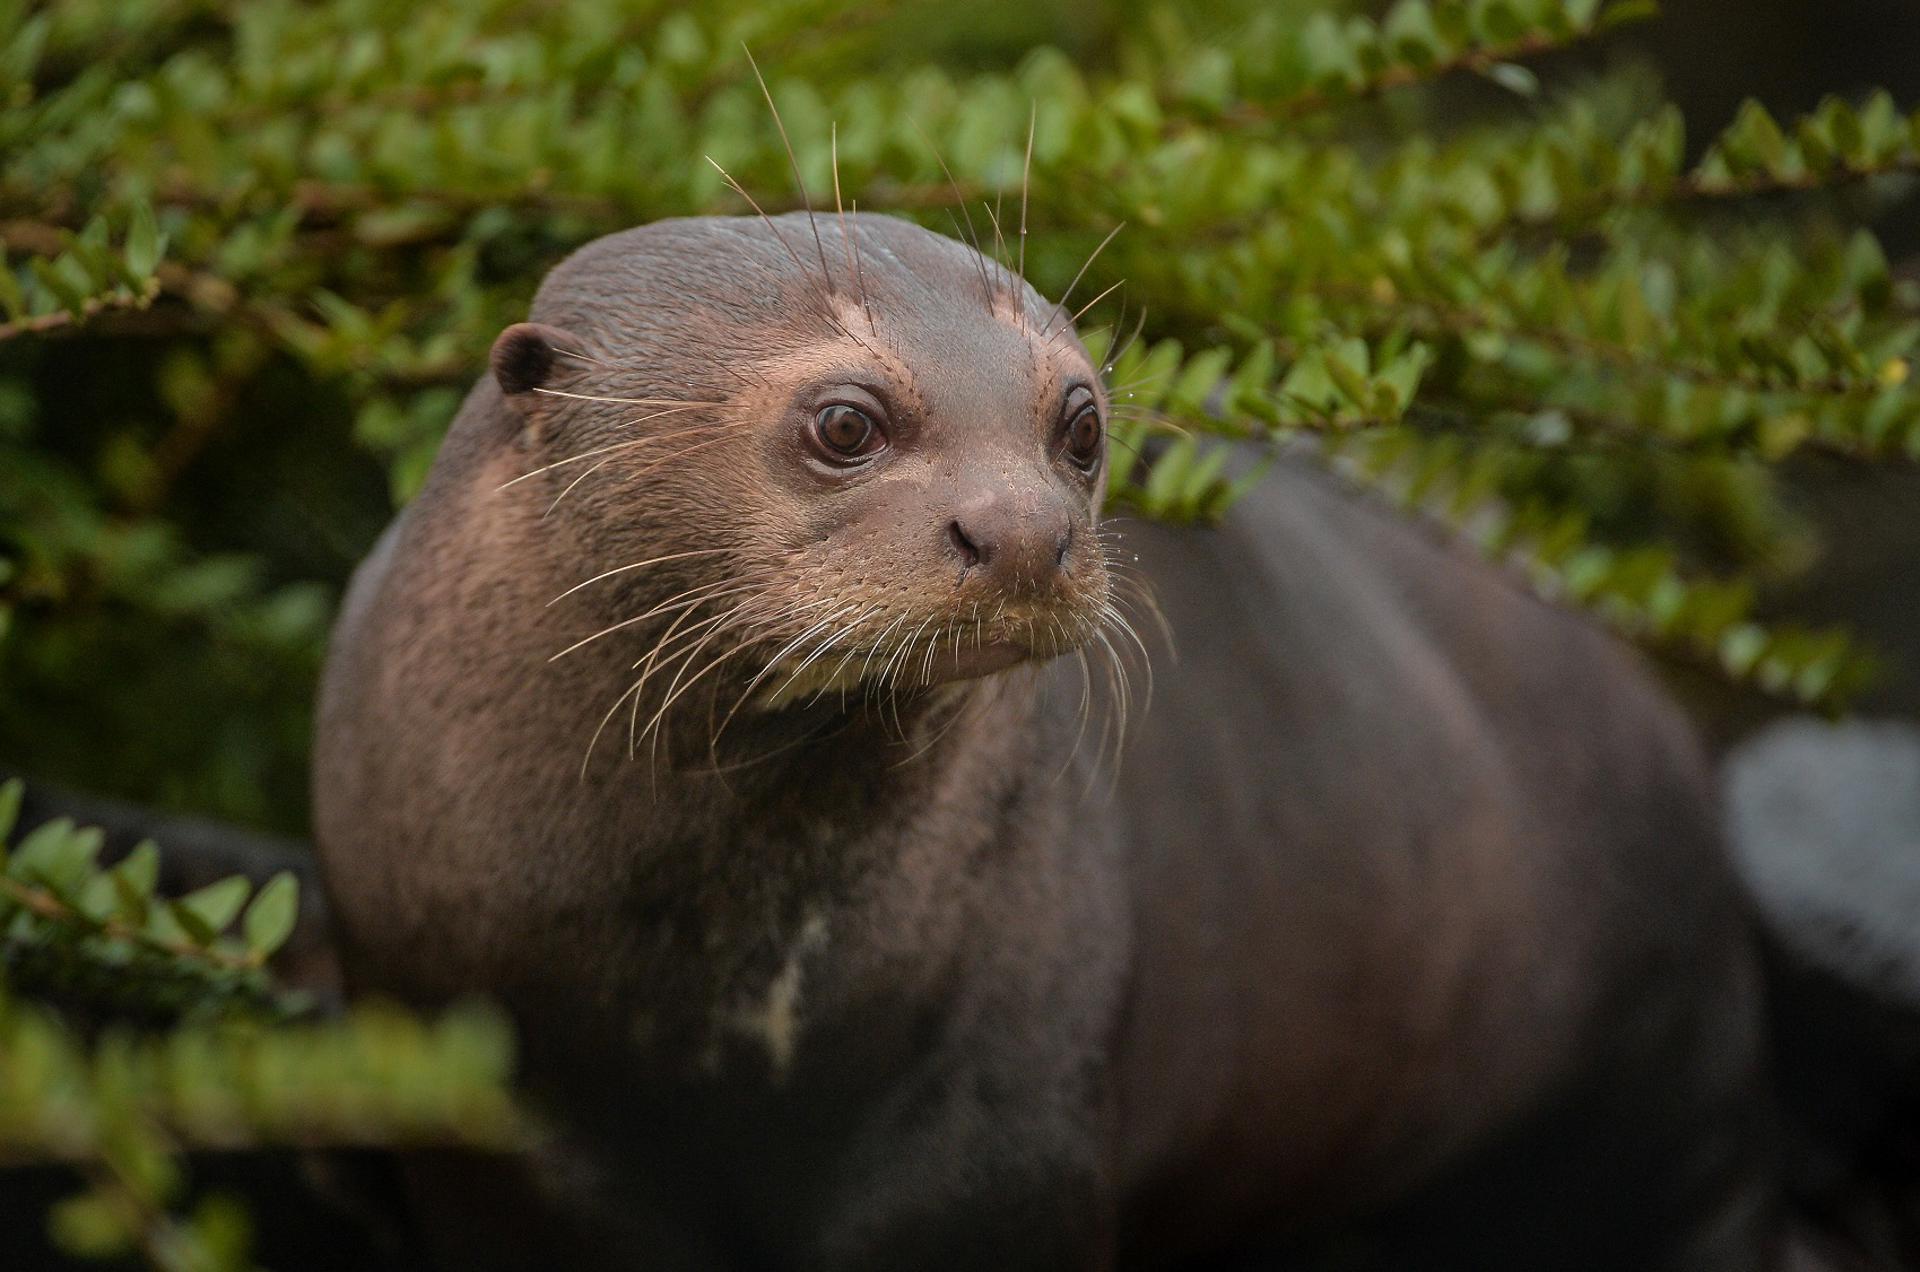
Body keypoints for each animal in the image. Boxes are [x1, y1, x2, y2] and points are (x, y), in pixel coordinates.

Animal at [312, 212, 1787, 1270]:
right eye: (846, 421)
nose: (1024, 529)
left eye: (1078, 421)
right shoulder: (485, 1095)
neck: (737, 1004)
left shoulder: (1007, 1101)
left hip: (1654, 1046)